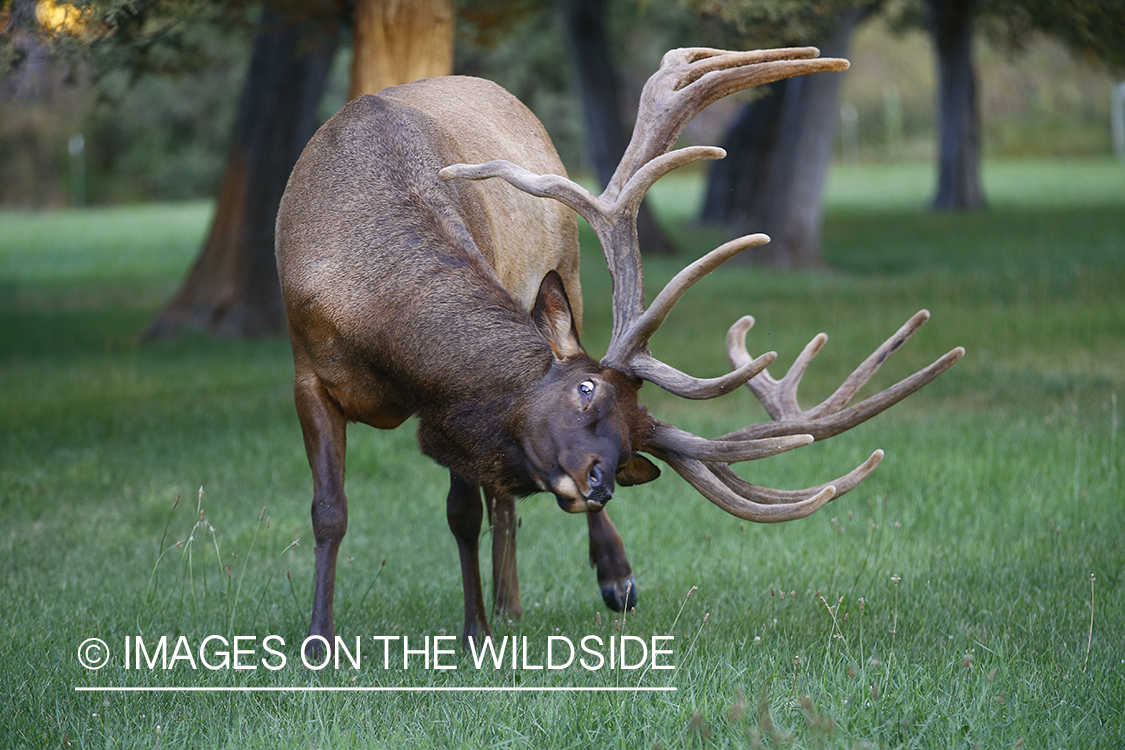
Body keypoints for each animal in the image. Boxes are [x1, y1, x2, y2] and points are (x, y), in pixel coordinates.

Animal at [276, 46, 963, 652]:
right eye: (586, 388)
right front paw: (318, 640)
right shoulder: (307, 370)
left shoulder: (443, 405)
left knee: (504, 503)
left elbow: (462, 510)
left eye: (632, 444)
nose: (602, 480)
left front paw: (476, 632)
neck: (381, 322)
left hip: (572, 274)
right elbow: (330, 510)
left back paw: (585, 582)